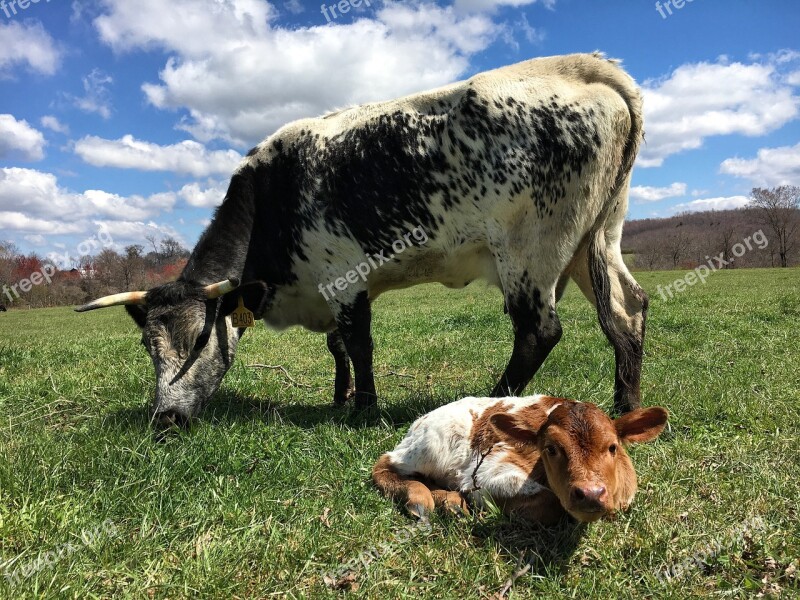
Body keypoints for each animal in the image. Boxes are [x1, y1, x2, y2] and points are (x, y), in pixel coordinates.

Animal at [75, 50, 648, 426]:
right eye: (148, 346)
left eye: (198, 338)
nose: (165, 418)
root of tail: (585, 68)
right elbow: (337, 347)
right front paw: (341, 396)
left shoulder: (344, 279)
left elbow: (357, 342)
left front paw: (365, 408)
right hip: (595, 240)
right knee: (627, 310)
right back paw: (626, 406)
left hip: (531, 251)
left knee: (539, 331)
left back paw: (493, 401)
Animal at [376, 396, 668, 524]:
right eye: (550, 449)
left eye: (612, 447)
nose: (591, 493)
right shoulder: (486, 470)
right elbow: (548, 502)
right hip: (429, 445)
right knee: (385, 465)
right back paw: (421, 500)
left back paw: (451, 503)